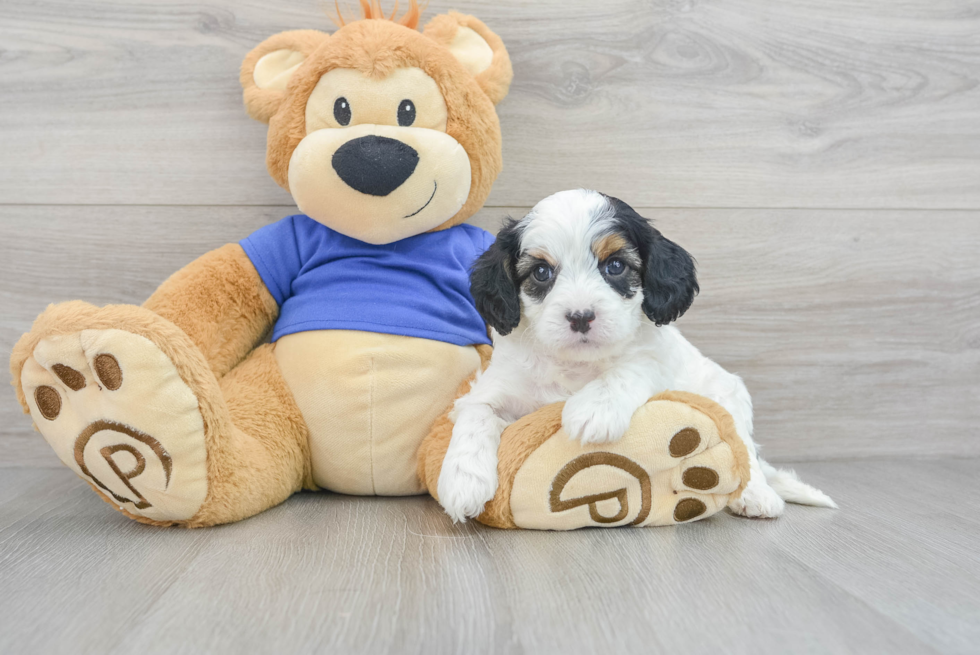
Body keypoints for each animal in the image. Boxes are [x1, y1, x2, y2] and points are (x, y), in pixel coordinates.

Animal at [440, 188, 840, 524]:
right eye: (541, 272)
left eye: (615, 266)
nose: (580, 316)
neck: (577, 364)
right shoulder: (495, 387)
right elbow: (476, 415)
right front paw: (462, 482)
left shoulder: (656, 359)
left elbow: (630, 368)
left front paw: (595, 409)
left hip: (727, 393)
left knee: (744, 450)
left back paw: (757, 495)